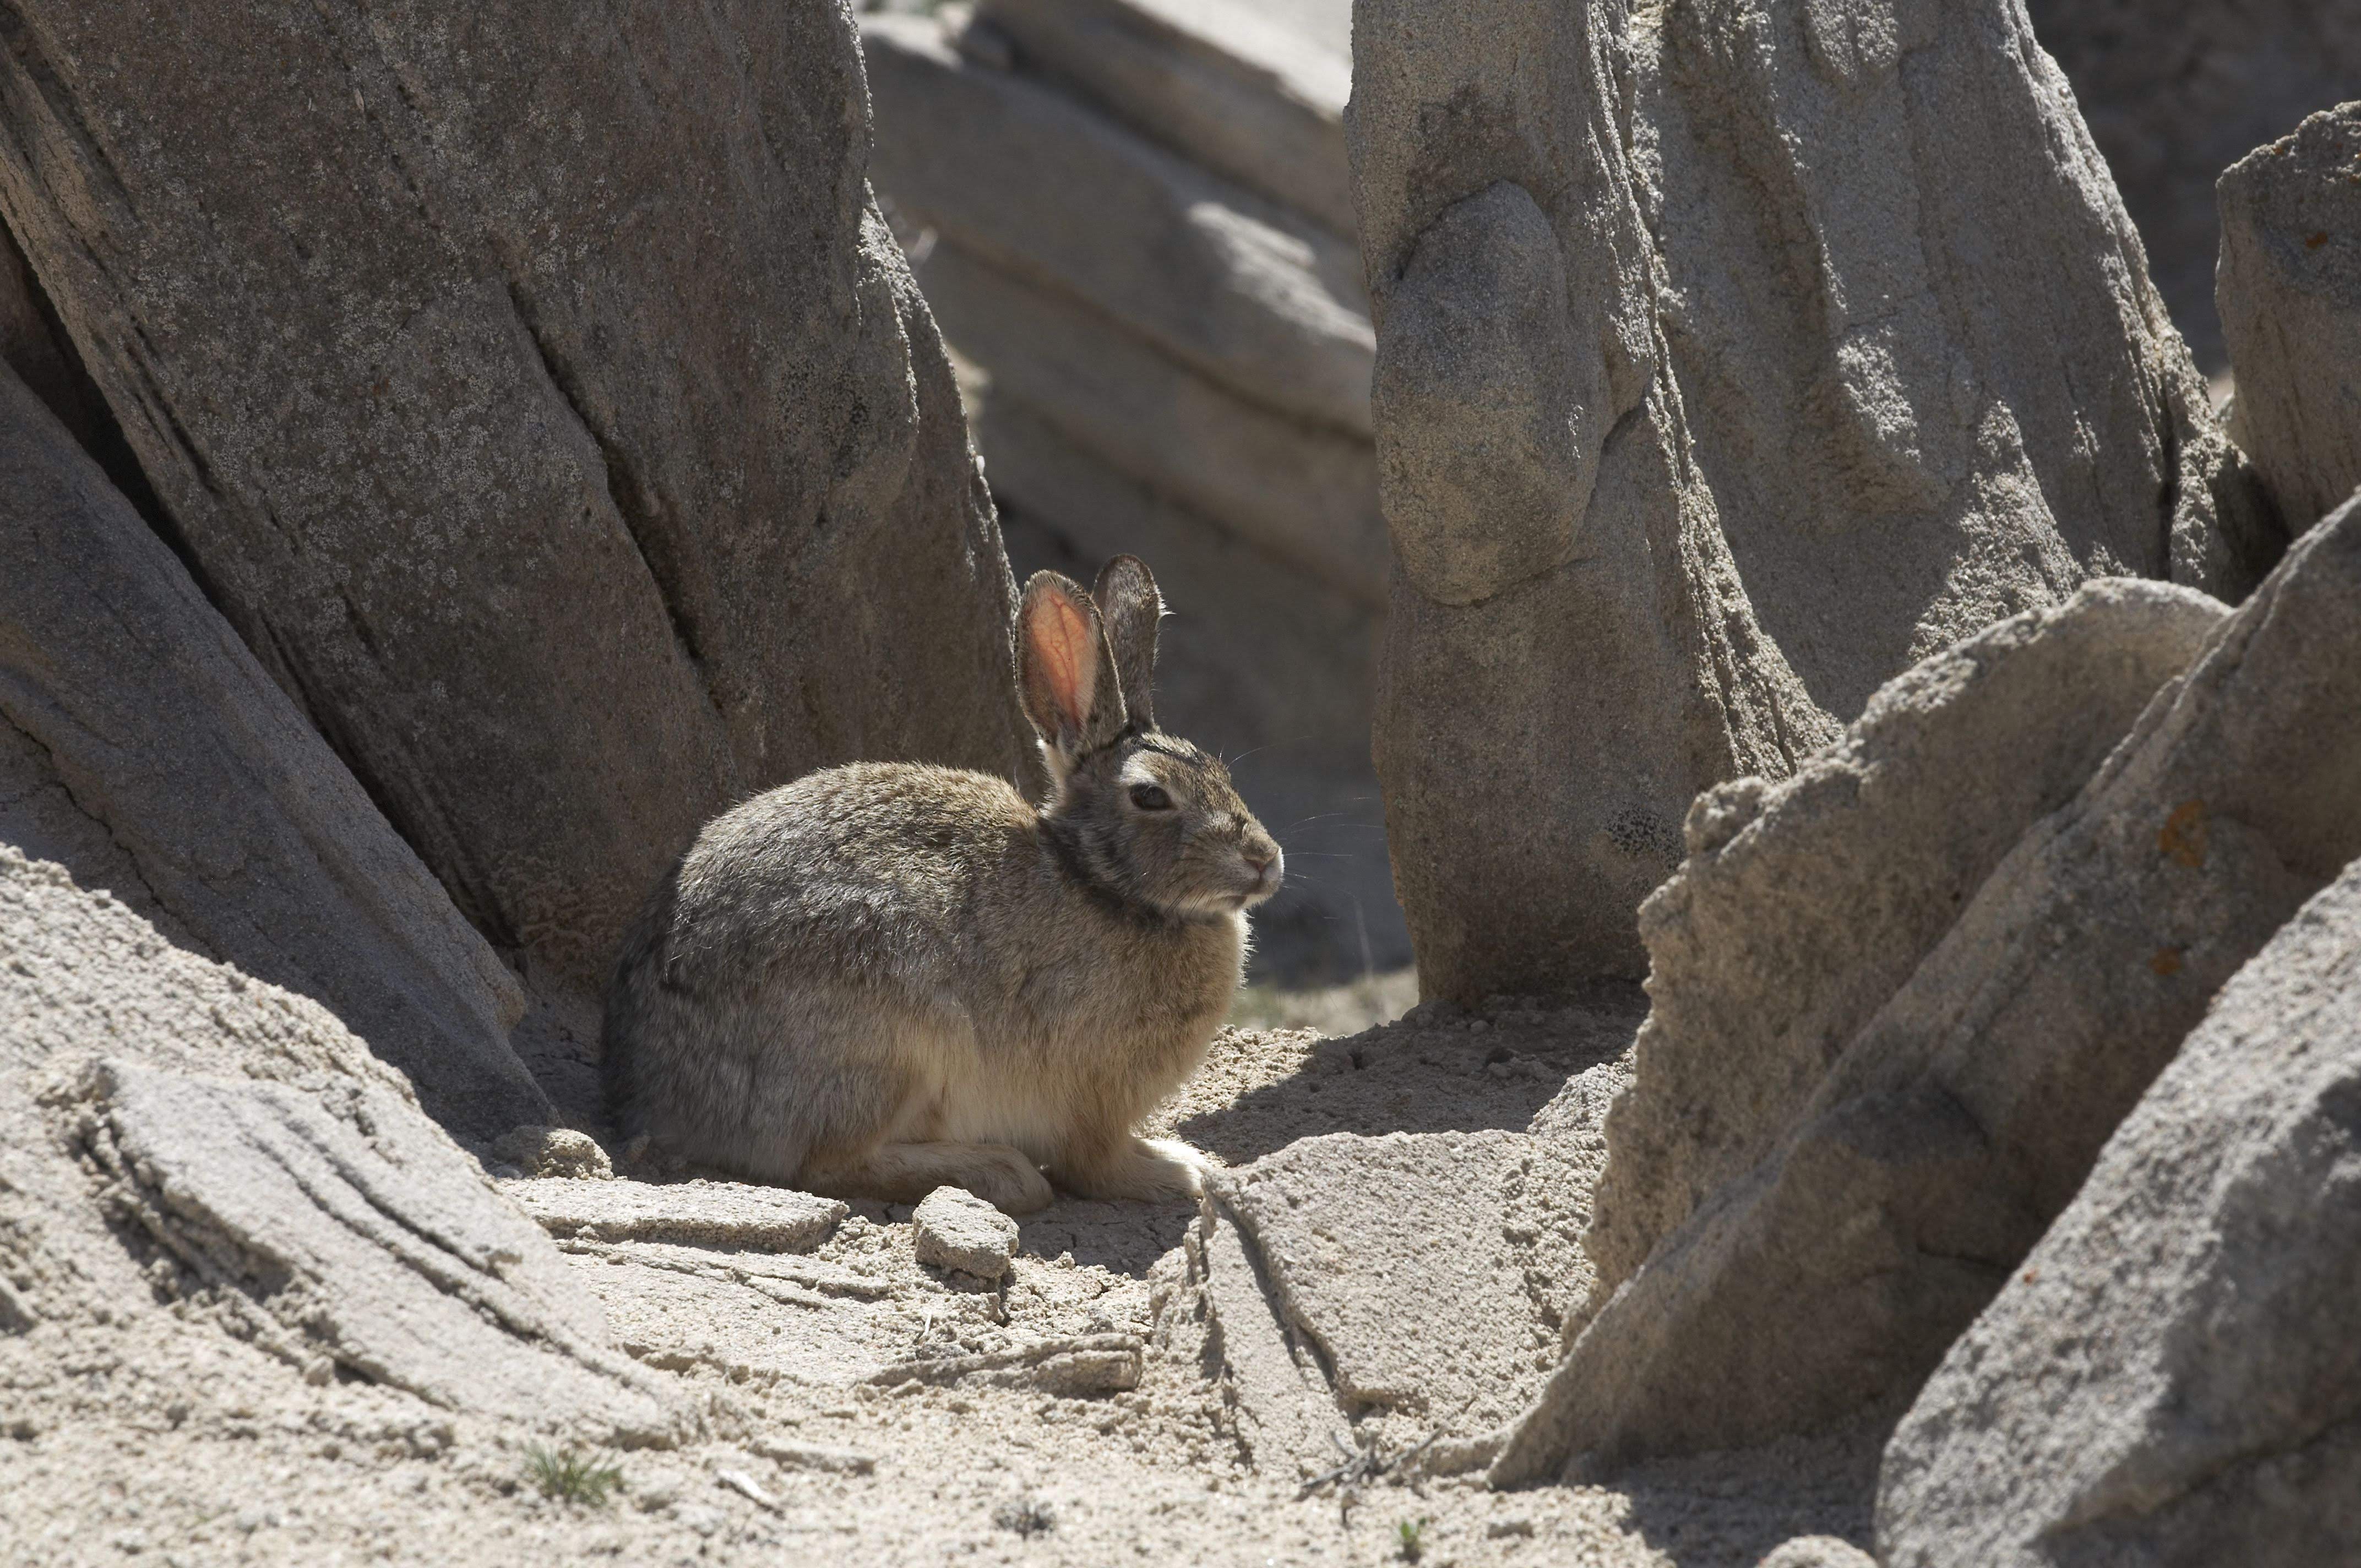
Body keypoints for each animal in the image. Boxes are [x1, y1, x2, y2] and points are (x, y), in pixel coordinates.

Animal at [600, 557, 1284, 1218]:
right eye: (1150, 796)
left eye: (1221, 773)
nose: (1266, 861)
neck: (1099, 881)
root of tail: (648, 1092)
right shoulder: (1094, 1097)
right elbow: (1097, 1165)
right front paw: (1180, 1168)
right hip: (894, 1036)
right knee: (827, 1165)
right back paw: (1001, 1174)